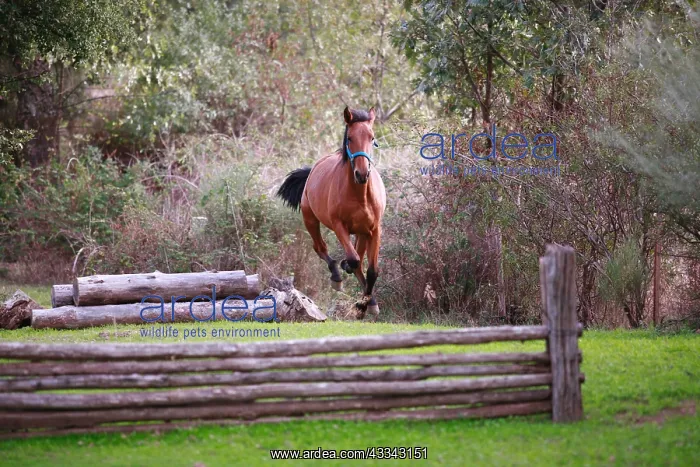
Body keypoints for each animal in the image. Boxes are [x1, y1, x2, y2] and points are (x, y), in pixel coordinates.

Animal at [276, 106, 386, 319]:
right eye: (350, 138)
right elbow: (353, 259)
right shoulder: (338, 226)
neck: (360, 195)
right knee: (321, 248)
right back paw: (337, 276)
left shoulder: (375, 230)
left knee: (359, 262)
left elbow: (372, 270)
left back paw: (369, 301)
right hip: (310, 219)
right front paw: (358, 300)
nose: (362, 174)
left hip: (362, 233)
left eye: (372, 137)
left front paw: (366, 305)